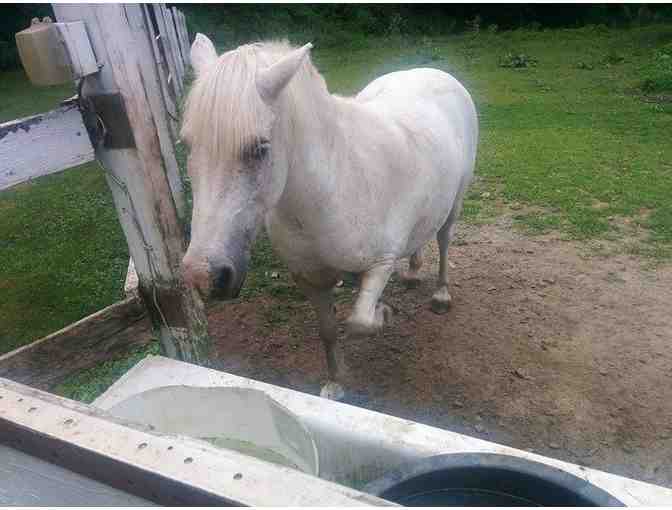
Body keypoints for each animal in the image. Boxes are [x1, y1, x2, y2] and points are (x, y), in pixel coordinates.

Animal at [181, 34, 478, 400]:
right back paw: (412, 273)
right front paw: (336, 383)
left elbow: (360, 322)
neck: (332, 189)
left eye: (260, 148)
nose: (203, 276)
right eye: (187, 144)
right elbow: (328, 330)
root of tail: (431, 71)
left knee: (445, 239)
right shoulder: (308, 278)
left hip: (456, 202)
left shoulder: (380, 265)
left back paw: (441, 295)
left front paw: (384, 313)